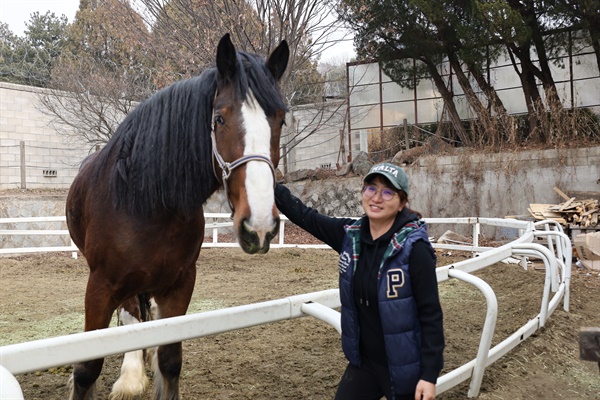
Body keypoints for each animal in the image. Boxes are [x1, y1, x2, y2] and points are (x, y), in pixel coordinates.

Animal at [65, 32, 288, 398]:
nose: (259, 226)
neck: (147, 204)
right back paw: (129, 377)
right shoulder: (100, 287)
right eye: (219, 119)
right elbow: (87, 369)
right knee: (130, 315)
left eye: (281, 119)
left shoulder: (180, 285)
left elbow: (169, 361)